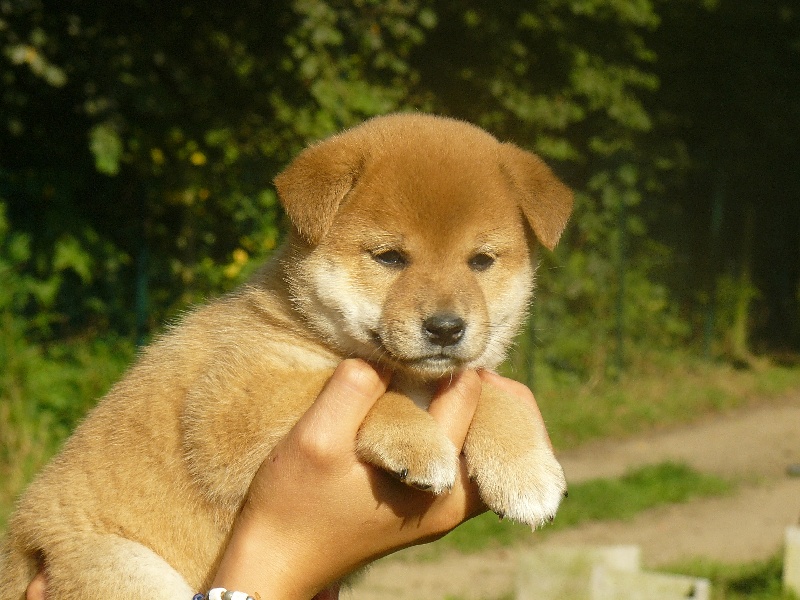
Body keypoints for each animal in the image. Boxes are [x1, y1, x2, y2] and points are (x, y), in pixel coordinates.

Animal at [0, 113, 572, 599]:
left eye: (481, 261)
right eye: (390, 257)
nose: (447, 328)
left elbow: (497, 393)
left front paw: (527, 470)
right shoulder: (236, 404)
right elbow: (367, 391)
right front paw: (419, 441)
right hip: (120, 567)